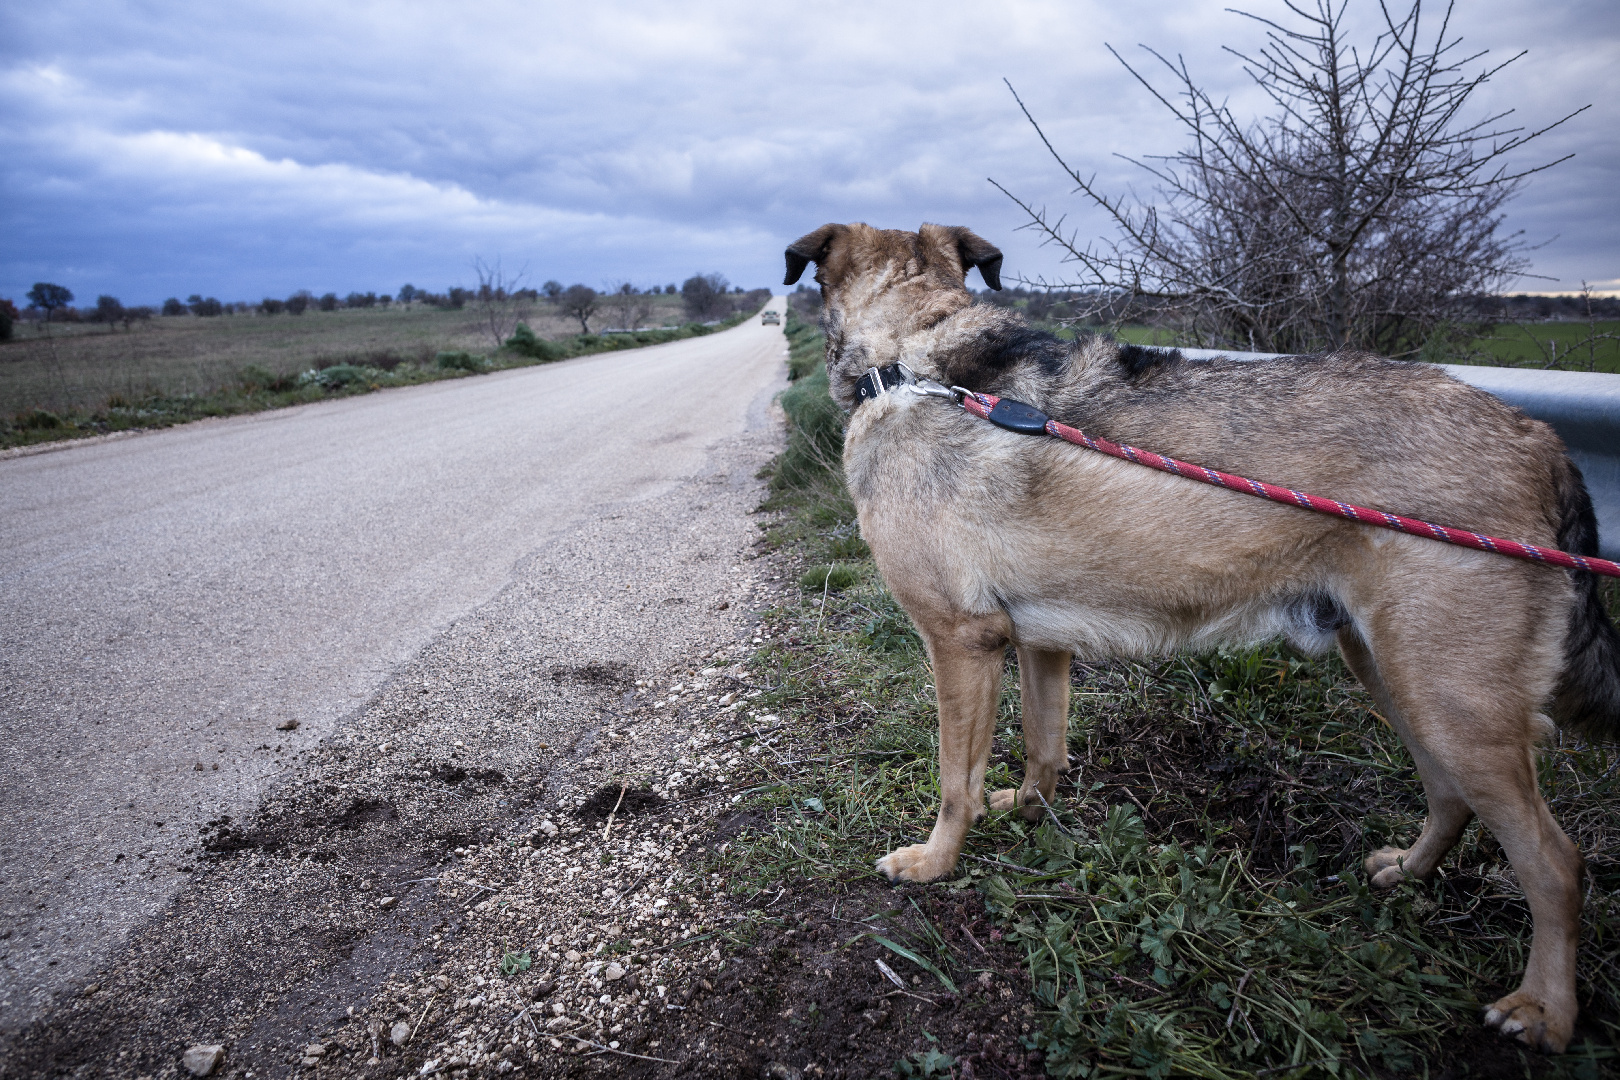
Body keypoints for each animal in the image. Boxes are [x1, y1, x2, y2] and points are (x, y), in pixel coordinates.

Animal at [784, 221, 1620, 1055]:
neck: (910, 353)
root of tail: (1540, 439)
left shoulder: (960, 641)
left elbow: (954, 778)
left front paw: (936, 862)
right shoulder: (1036, 643)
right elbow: (1044, 744)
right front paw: (1028, 809)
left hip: (1452, 702)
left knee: (1556, 863)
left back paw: (1545, 1009)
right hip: (1399, 677)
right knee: (1449, 796)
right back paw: (1408, 872)